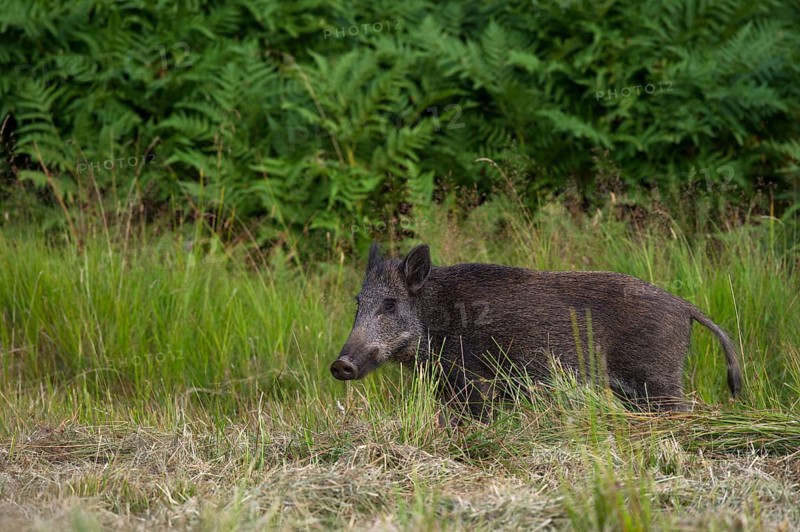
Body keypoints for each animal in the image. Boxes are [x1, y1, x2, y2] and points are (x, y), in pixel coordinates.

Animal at [331, 243, 742, 419]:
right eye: (358, 302)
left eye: (390, 304)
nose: (340, 365)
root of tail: (685, 307)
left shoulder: (472, 379)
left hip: (657, 377)